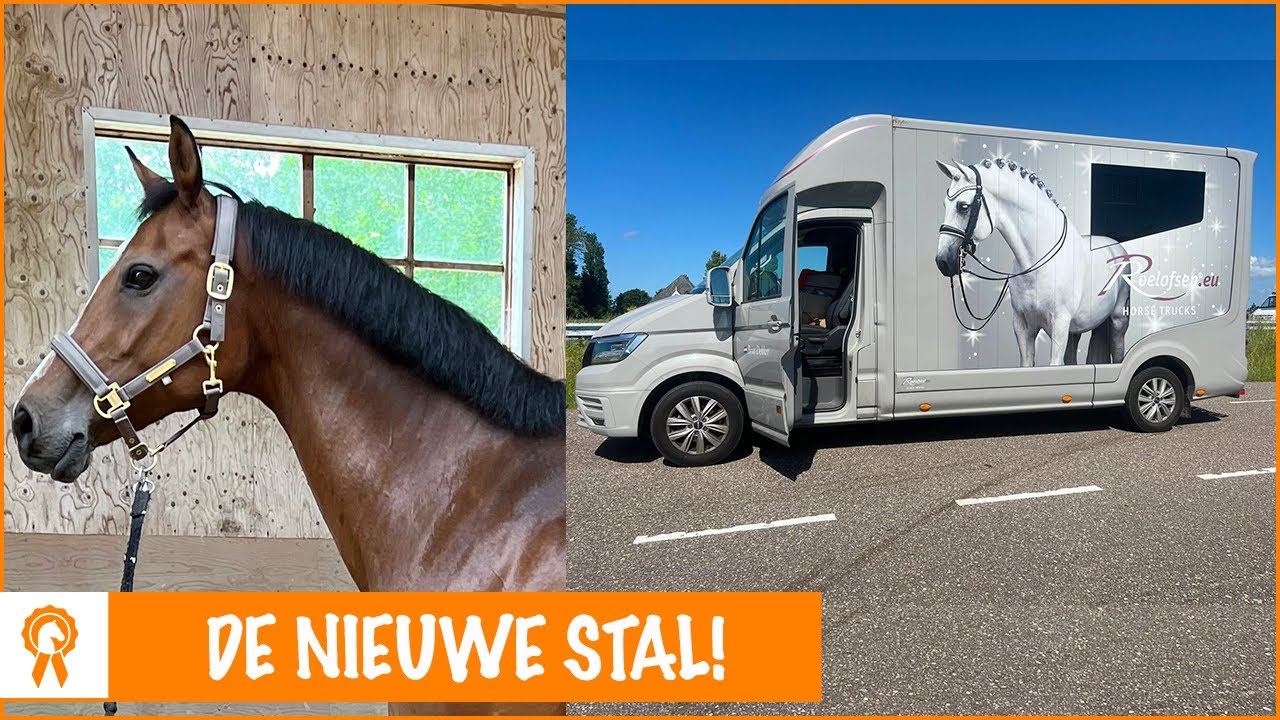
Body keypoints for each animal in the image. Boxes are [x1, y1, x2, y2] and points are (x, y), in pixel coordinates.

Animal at [934, 158, 1130, 367]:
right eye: (945, 204)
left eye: (962, 206)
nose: (943, 261)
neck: (1037, 263)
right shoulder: (1023, 326)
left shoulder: (1060, 325)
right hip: (1075, 330)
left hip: (1118, 322)